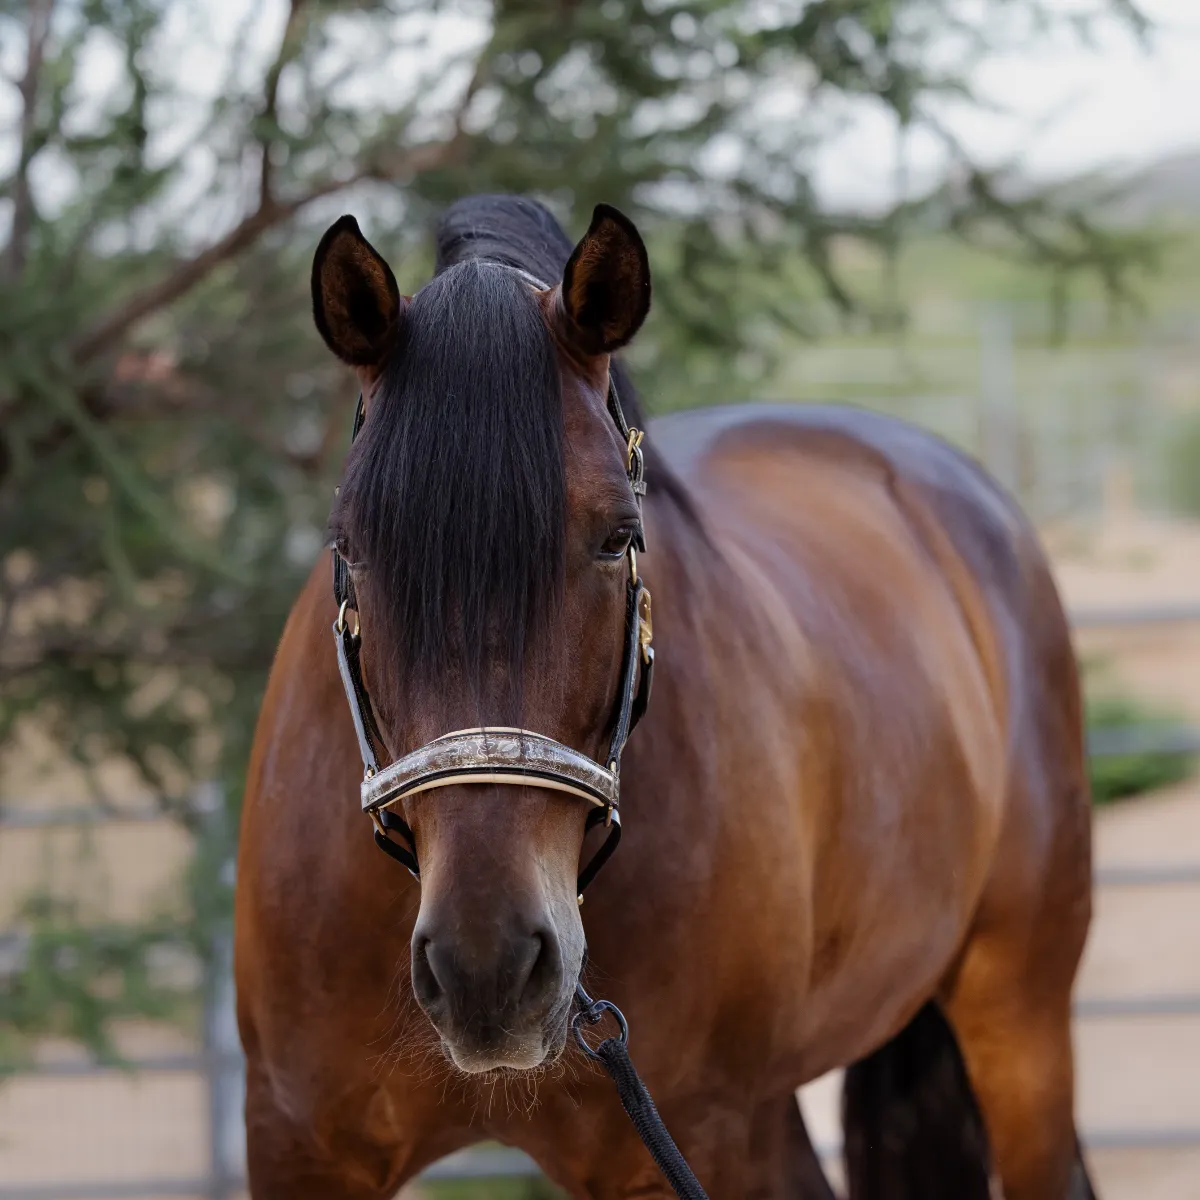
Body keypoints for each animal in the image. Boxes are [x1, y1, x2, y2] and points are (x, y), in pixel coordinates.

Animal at [234, 192, 1099, 1195]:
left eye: (618, 538)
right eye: (350, 545)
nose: (488, 970)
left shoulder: (683, 1145)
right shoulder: (298, 1144)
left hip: (1017, 1023)